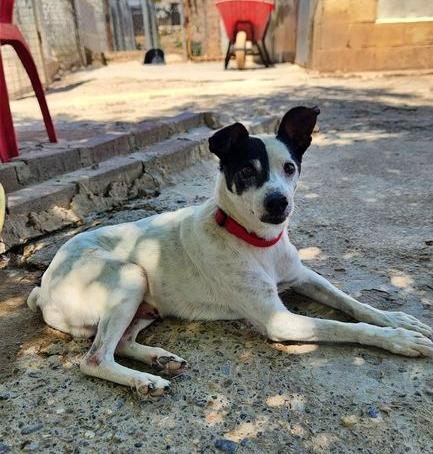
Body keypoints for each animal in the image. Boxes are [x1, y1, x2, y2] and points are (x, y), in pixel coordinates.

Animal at [27, 106, 433, 396]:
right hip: (130, 276)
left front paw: (399, 320)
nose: (278, 203)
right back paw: (146, 381)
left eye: (290, 167)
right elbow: (344, 326)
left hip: (145, 303)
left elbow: (354, 304)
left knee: (123, 342)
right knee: (94, 359)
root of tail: (42, 287)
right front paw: (398, 340)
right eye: (247, 172)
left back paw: (160, 360)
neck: (257, 242)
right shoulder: (278, 320)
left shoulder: (303, 276)